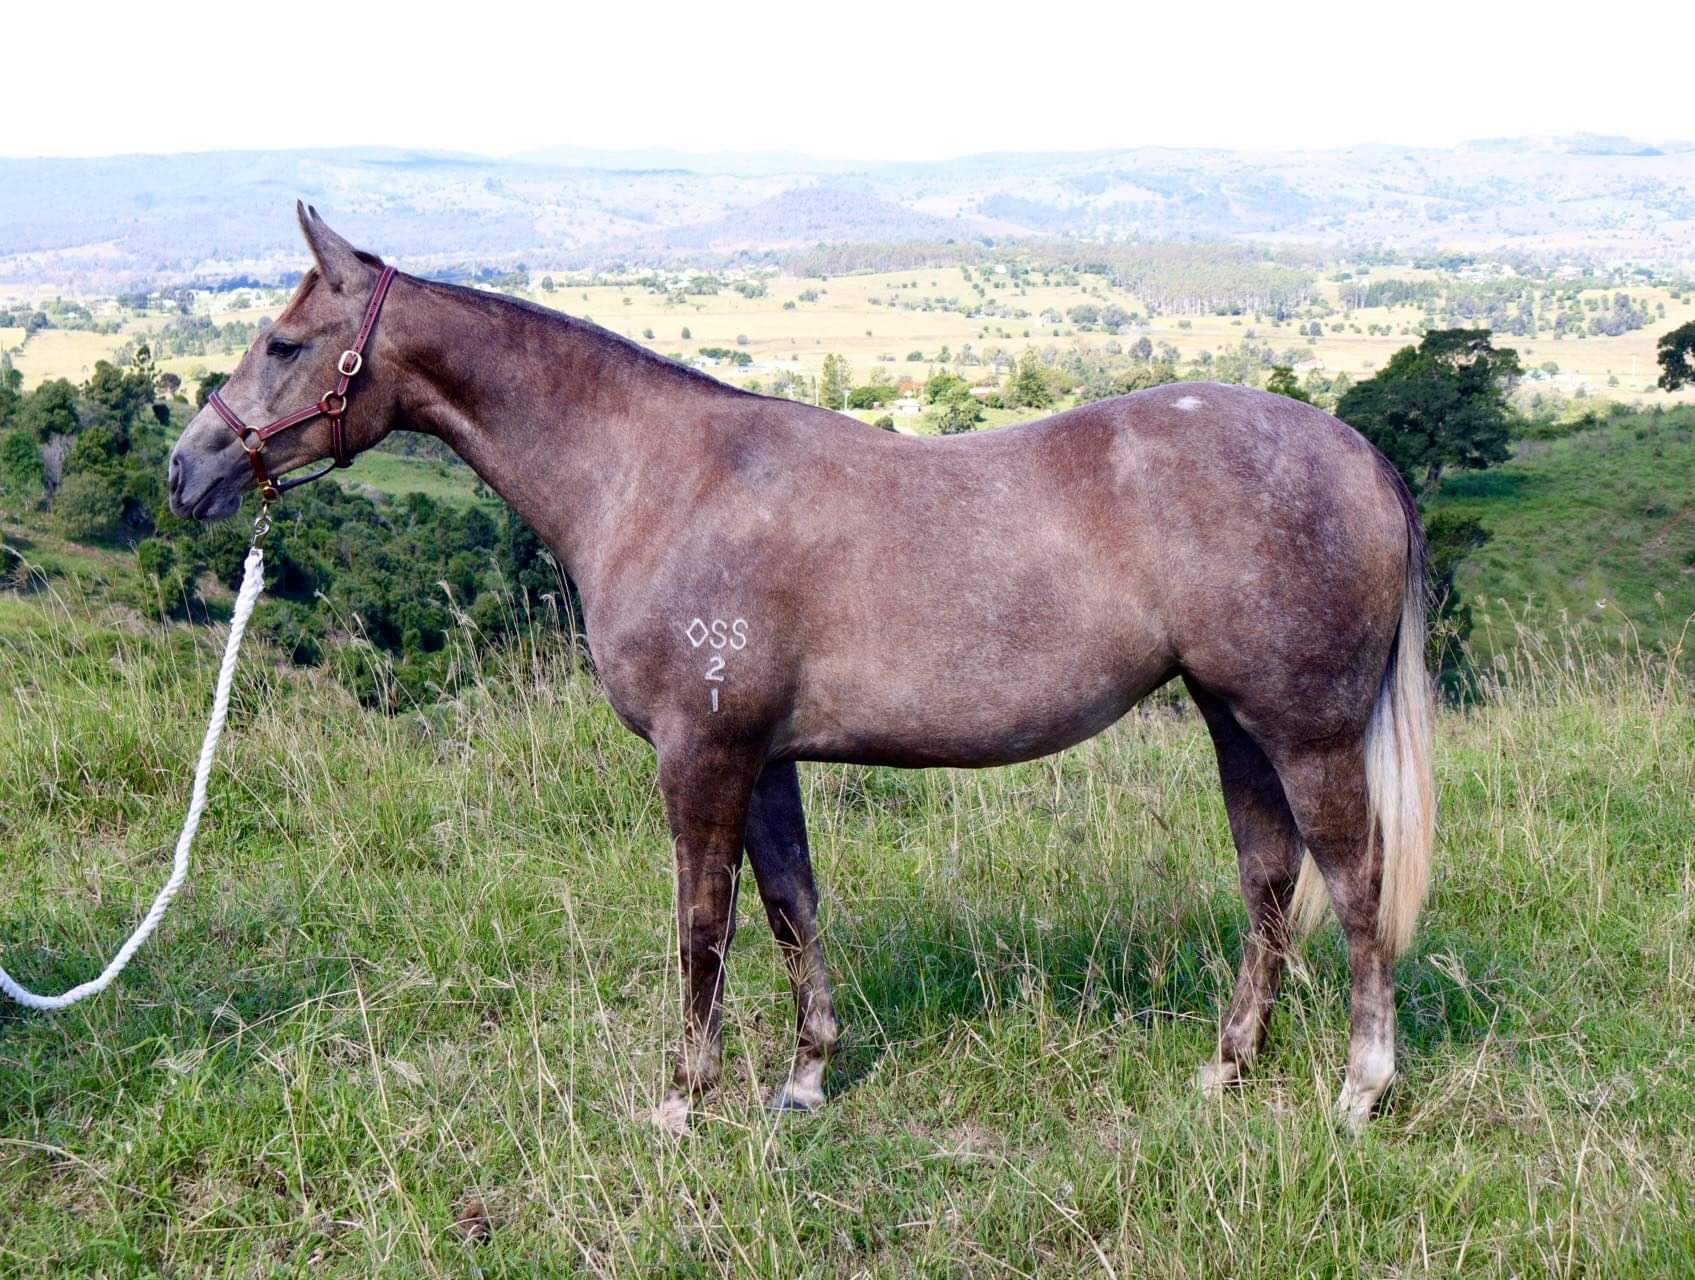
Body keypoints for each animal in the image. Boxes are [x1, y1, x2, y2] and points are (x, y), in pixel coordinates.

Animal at [168, 206, 1435, 1133]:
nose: (189, 469)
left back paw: (1359, 1087)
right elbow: (790, 908)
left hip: (1307, 730)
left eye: (285, 344)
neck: (660, 477)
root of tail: (1361, 454)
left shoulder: (703, 755)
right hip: (1234, 719)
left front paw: (682, 1100)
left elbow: (703, 924)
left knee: (1355, 886)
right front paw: (806, 1075)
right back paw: (1229, 1065)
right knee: (1269, 881)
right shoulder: (763, 757)